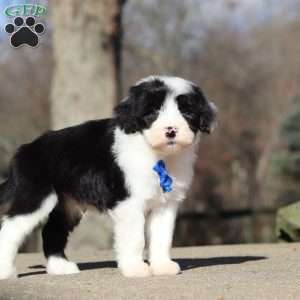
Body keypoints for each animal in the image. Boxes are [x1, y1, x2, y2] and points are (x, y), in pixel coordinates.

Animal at [0, 75, 217, 278]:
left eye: (187, 113)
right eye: (152, 112)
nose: (171, 131)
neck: (155, 153)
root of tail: (25, 150)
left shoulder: (165, 204)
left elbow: (161, 237)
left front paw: (162, 266)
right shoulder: (128, 203)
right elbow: (135, 237)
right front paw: (135, 268)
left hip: (68, 205)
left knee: (52, 230)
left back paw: (60, 267)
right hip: (36, 197)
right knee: (10, 229)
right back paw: (6, 272)